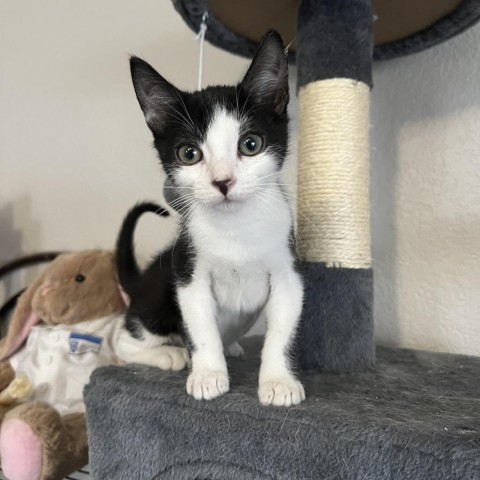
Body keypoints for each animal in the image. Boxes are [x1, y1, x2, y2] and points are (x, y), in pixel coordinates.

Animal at [117, 31, 304, 404]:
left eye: (250, 144)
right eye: (189, 154)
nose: (223, 181)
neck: (236, 229)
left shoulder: (288, 272)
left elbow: (281, 332)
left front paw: (278, 381)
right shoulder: (188, 272)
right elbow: (201, 328)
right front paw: (207, 375)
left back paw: (230, 345)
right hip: (160, 290)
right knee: (124, 340)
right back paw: (169, 353)